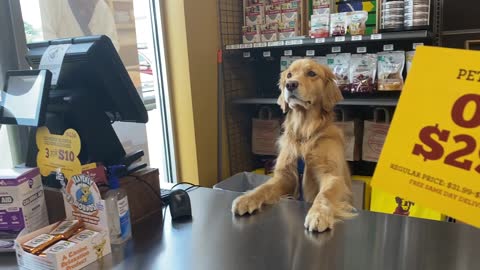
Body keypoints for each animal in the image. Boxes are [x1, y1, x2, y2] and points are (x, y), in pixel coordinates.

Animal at [231, 58, 354, 232]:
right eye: (289, 75)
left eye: (311, 73)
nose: (290, 84)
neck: (304, 135)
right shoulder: (285, 177)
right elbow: (264, 187)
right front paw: (247, 198)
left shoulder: (332, 176)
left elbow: (324, 195)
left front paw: (318, 214)